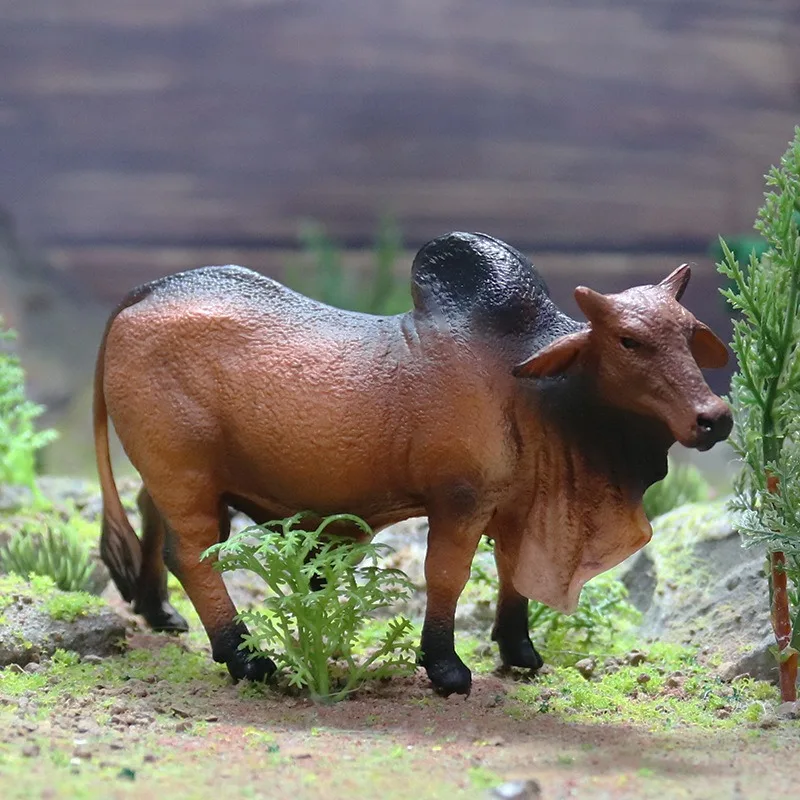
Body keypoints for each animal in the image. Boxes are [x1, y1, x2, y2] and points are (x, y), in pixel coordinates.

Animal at [94, 230, 732, 692]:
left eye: (689, 333)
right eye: (628, 341)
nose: (715, 417)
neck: (536, 392)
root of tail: (149, 289)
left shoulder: (516, 509)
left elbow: (512, 578)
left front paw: (519, 651)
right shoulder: (460, 503)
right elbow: (447, 577)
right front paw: (446, 668)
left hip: (169, 474)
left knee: (150, 519)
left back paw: (158, 613)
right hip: (185, 476)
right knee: (193, 556)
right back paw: (246, 658)